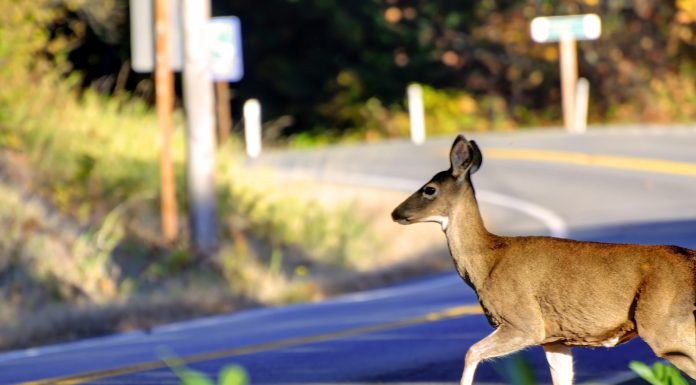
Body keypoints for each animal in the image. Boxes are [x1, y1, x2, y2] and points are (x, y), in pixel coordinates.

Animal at [392, 134, 696, 384]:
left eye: (429, 189)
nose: (395, 213)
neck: (487, 260)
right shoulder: (556, 337)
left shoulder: (524, 322)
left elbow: (471, 351)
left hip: (665, 325)